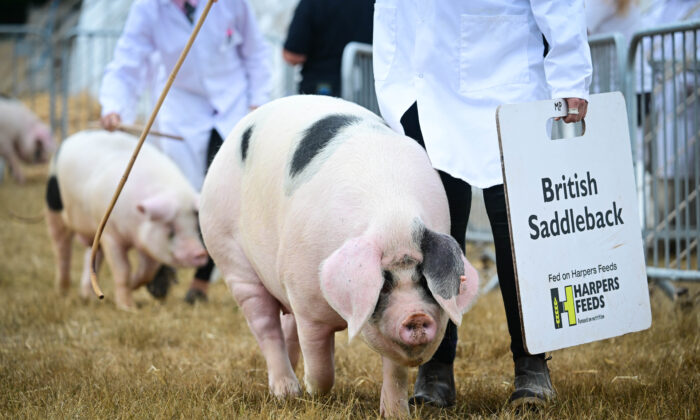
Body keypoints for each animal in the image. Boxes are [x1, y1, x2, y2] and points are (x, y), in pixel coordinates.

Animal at [44, 130, 205, 310]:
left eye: (196, 227)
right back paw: (63, 291)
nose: (199, 253)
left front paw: (134, 285)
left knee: (92, 258)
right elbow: (123, 269)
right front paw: (128, 308)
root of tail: (70, 139)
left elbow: (147, 271)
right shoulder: (109, 235)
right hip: (54, 209)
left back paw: (88, 297)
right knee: (62, 250)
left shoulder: (145, 242)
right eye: (171, 230)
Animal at [200, 96, 478, 416]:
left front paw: (396, 414)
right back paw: (288, 391)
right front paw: (313, 390)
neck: (392, 219)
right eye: (384, 283)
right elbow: (320, 361)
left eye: (423, 279)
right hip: (230, 255)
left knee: (285, 326)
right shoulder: (305, 299)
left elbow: (394, 372)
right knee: (266, 327)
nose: (416, 315)